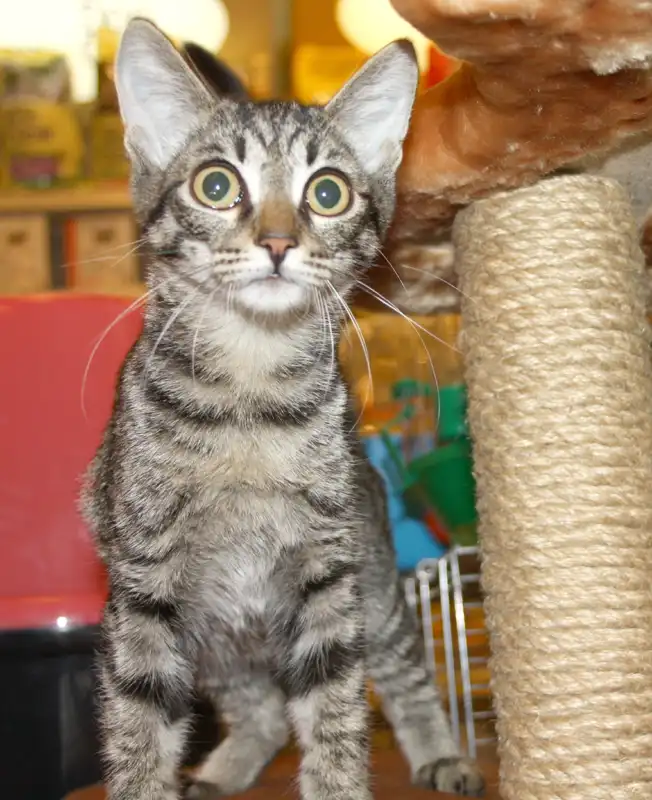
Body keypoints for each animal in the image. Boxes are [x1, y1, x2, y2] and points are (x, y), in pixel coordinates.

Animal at [81, 18, 485, 800]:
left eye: (327, 192)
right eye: (215, 185)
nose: (276, 241)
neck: (249, 394)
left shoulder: (328, 576)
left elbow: (335, 711)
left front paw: (340, 784)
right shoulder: (144, 584)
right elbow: (138, 723)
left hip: (374, 583)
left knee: (403, 670)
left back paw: (441, 752)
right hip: (216, 642)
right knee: (261, 709)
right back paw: (221, 769)